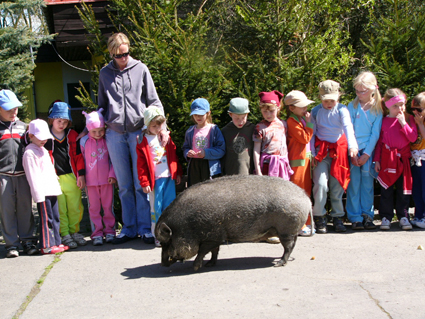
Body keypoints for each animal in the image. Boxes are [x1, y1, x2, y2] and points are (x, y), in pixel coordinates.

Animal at [154, 175, 310, 272]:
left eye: (165, 242)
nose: (162, 264)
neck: (188, 225)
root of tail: (306, 198)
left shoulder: (213, 236)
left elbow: (203, 251)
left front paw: (196, 267)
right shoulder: (216, 236)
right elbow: (214, 251)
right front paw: (210, 264)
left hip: (286, 230)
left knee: (288, 247)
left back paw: (278, 264)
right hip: (290, 230)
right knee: (293, 245)